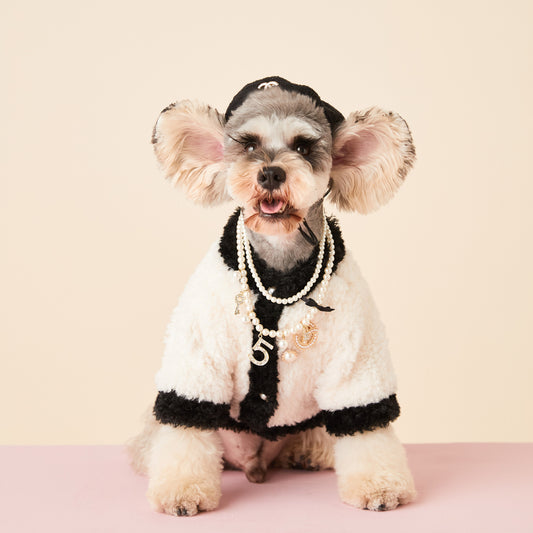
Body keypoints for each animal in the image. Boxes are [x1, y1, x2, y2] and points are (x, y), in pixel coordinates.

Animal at [128, 77, 416, 512]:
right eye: (248, 145)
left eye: (304, 147)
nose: (270, 173)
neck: (279, 269)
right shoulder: (197, 354)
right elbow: (186, 428)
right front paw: (182, 491)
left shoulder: (358, 359)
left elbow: (366, 425)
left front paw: (379, 486)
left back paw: (308, 453)